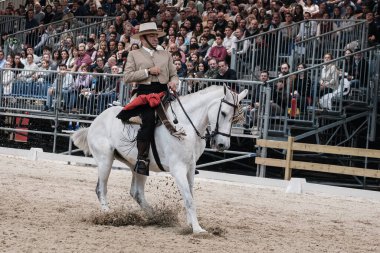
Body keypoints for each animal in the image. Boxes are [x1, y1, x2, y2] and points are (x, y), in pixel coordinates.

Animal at [72, 85, 248, 233]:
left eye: (234, 117)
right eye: (223, 113)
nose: (222, 144)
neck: (185, 125)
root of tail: (96, 121)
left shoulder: (190, 168)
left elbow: (190, 196)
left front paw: (191, 224)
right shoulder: (178, 169)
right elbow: (189, 199)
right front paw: (198, 229)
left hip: (139, 166)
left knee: (137, 193)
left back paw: (154, 216)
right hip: (105, 161)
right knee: (101, 189)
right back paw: (109, 215)